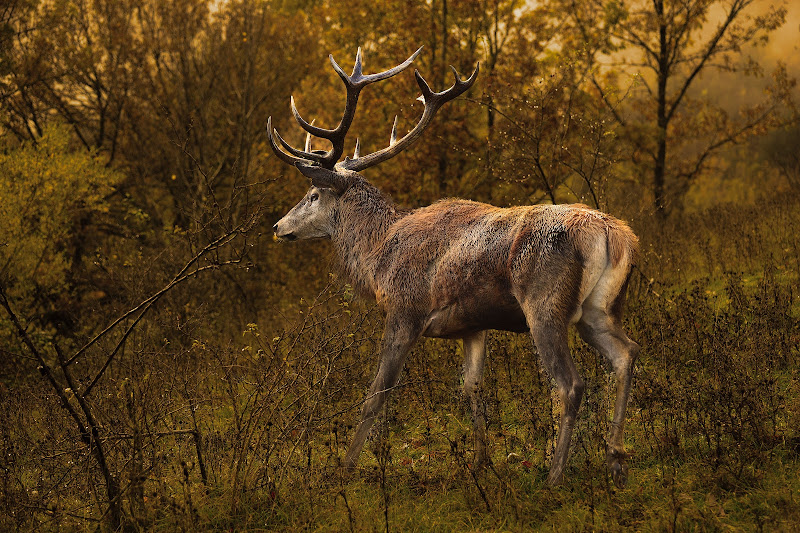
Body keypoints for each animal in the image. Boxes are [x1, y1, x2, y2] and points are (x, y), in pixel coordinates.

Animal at [272, 46, 640, 486]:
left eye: (313, 194)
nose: (278, 227)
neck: (377, 256)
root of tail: (612, 234)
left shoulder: (405, 312)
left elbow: (377, 393)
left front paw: (347, 466)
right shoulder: (472, 326)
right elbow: (473, 388)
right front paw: (480, 462)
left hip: (545, 304)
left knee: (570, 384)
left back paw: (554, 474)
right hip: (600, 308)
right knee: (626, 354)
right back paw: (615, 459)